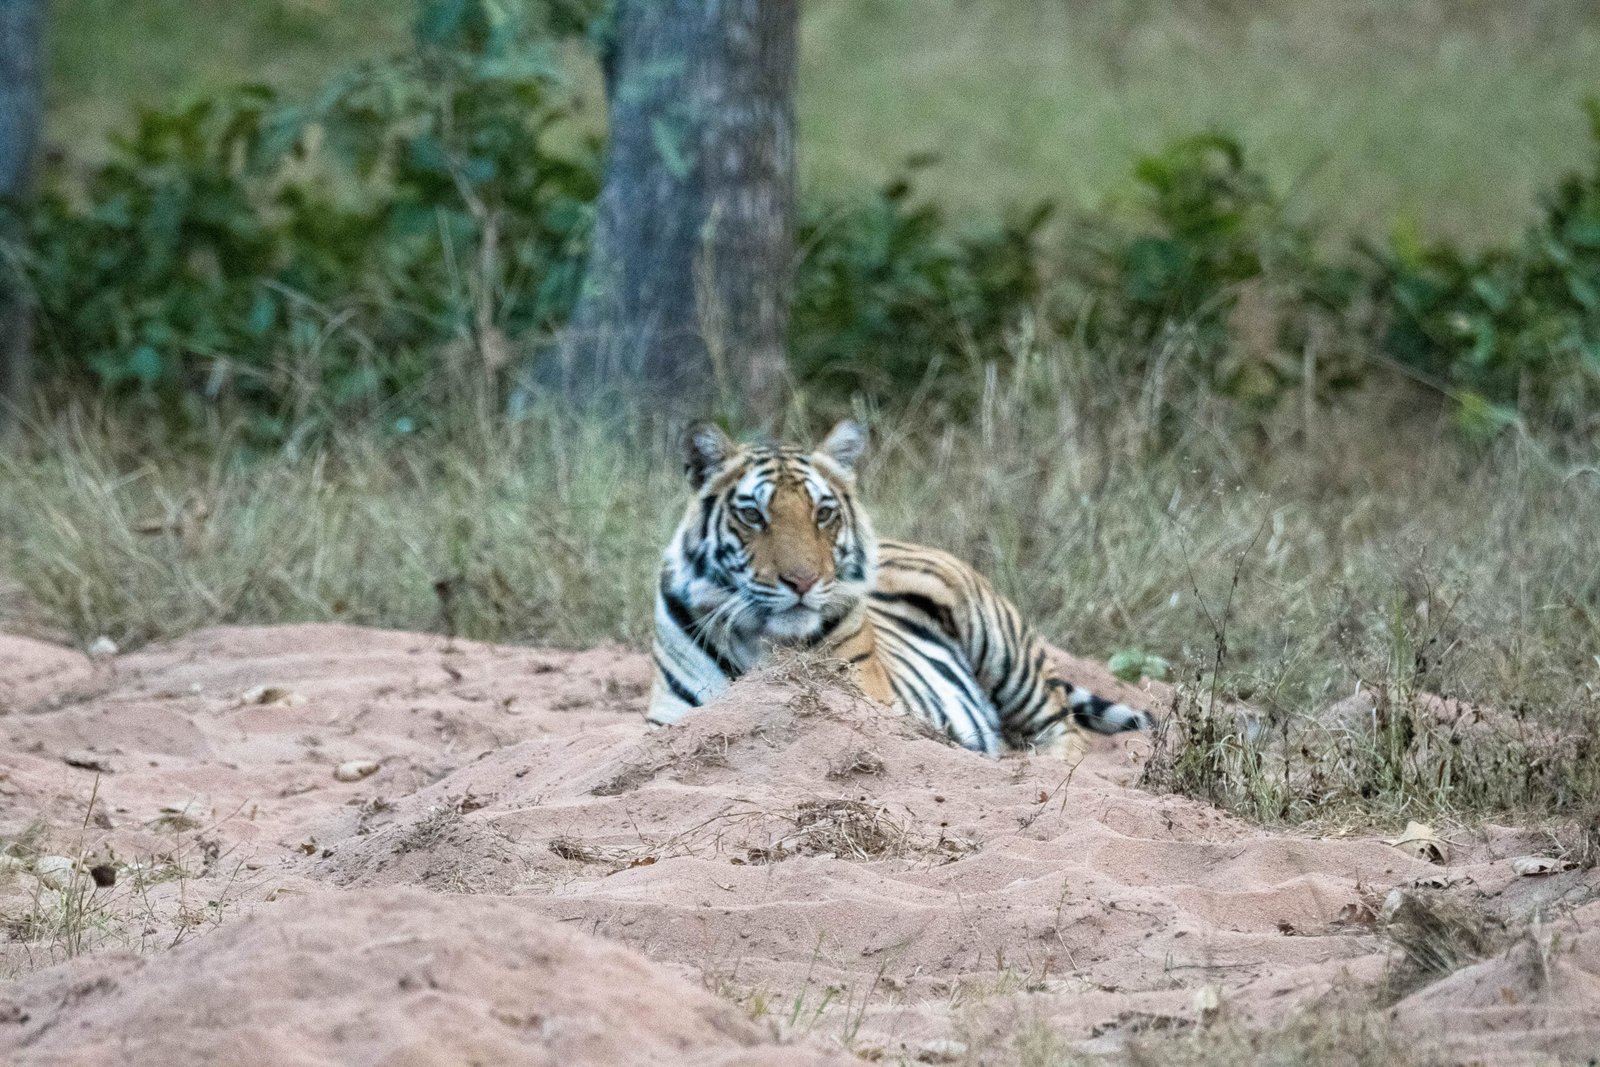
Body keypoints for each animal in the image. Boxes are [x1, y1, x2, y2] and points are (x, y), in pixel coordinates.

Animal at [647, 420, 1152, 756]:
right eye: (753, 515)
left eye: (823, 513)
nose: (803, 581)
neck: (763, 642)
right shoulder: (669, 720)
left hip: (1003, 653)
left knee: (1064, 729)